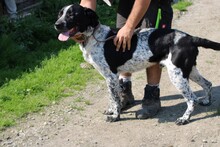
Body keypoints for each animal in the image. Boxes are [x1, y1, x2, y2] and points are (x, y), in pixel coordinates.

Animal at [54, 3, 220, 125]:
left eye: (72, 14)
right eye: (60, 14)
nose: (57, 25)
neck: (94, 37)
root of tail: (189, 38)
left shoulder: (111, 76)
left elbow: (115, 99)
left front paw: (115, 116)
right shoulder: (110, 78)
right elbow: (112, 97)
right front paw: (111, 110)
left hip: (177, 75)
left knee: (192, 99)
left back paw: (184, 119)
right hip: (188, 70)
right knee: (207, 84)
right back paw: (206, 101)